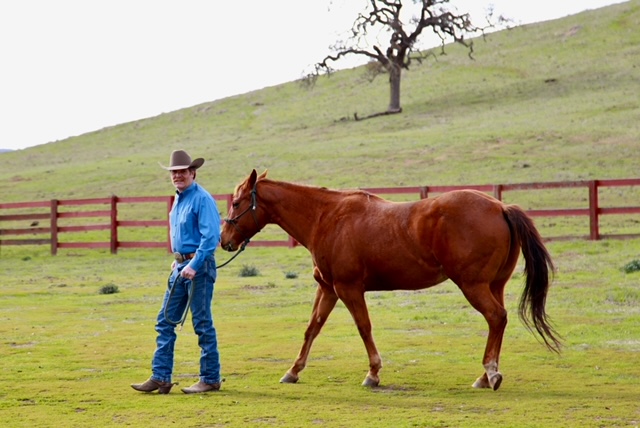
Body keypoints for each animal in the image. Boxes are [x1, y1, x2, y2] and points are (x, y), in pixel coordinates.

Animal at [220, 169, 561, 391]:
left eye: (236, 203)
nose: (224, 240)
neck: (326, 217)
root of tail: (501, 206)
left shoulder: (349, 288)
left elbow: (364, 327)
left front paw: (373, 373)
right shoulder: (329, 289)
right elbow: (312, 328)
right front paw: (293, 371)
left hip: (474, 286)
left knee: (496, 317)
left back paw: (490, 373)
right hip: (494, 285)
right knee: (498, 322)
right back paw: (485, 376)